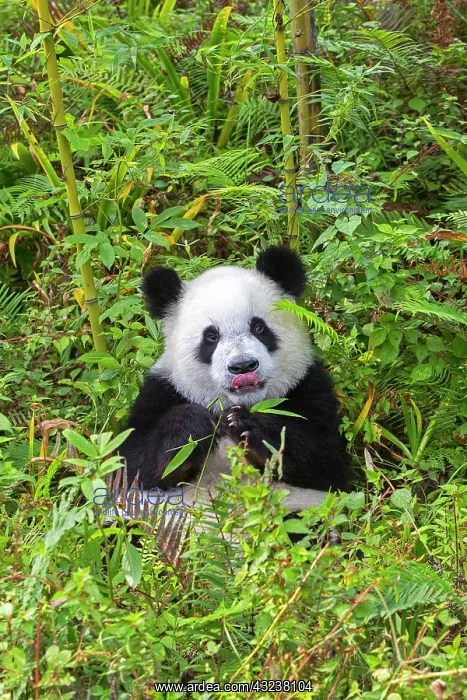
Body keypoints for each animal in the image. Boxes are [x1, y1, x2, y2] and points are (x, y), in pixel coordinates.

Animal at [120, 246, 349, 518]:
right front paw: (193, 426)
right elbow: (133, 465)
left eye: (259, 328)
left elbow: (328, 461)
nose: (243, 366)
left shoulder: (306, 385)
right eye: (211, 337)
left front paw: (245, 424)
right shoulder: (163, 390)